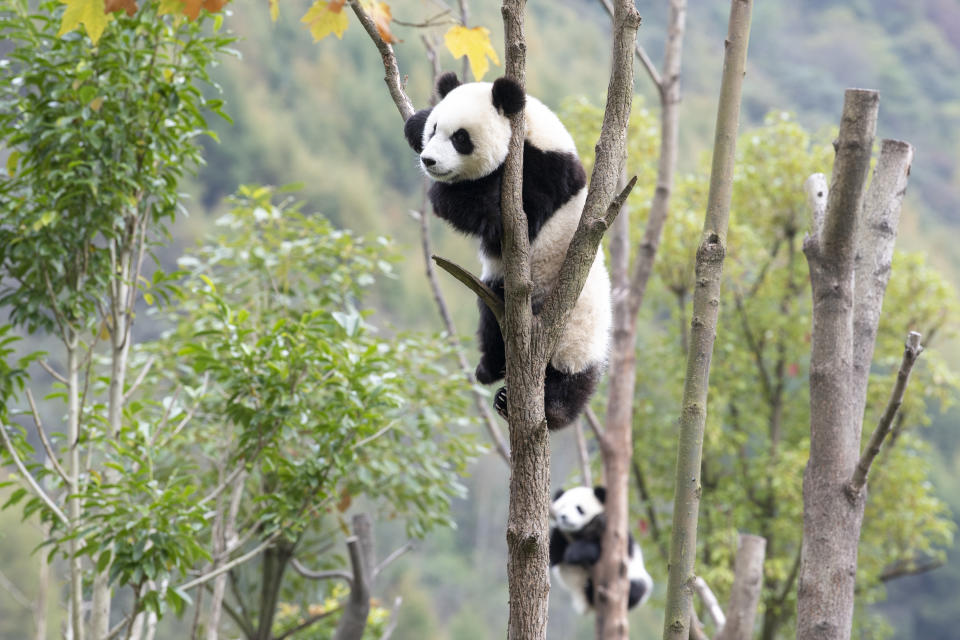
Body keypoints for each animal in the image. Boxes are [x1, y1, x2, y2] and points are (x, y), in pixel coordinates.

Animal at [402, 72, 612, 430]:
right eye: (435, 130)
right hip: (498, 293)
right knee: (490, 319)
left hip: (576, 332)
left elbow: (504, 220)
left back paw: (550, 408)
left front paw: (445, 195)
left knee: (571, 379)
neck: (530, 135)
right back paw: (490, 371)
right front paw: (414, 124)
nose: (430, 161)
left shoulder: (543, 174)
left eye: (461, 138)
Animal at [548, 484, 652, 616]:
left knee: (637, 588)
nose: (563, 517)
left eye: (579, 509)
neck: (580, 533)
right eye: (562, 506)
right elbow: (553, 555)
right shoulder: (562, 536)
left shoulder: (617, 536)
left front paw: (576, 552)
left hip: (633, 576)